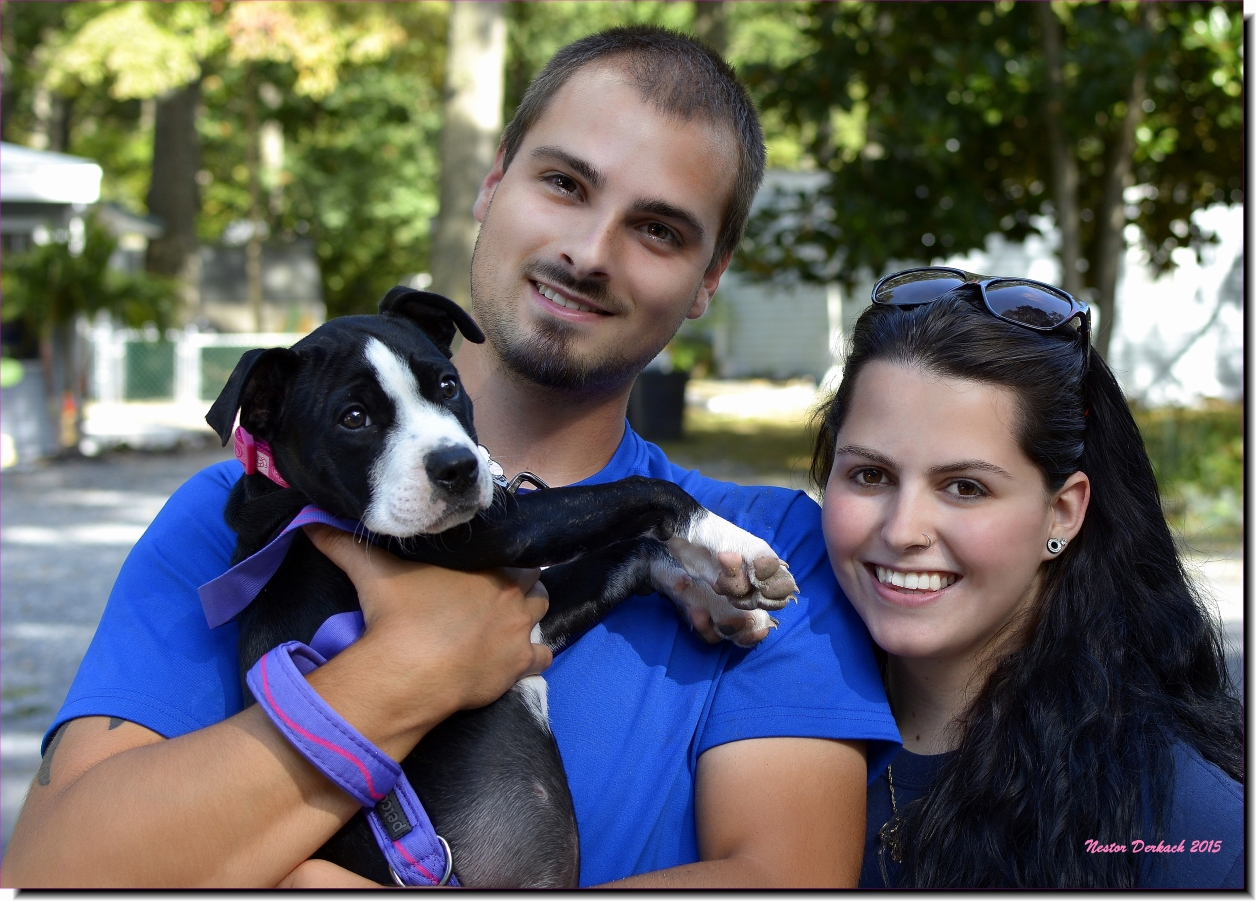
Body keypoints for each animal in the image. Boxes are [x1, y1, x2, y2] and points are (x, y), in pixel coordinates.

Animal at [204, 287, 793, 884]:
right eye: (353, 418)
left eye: (447, 385)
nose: (459, 467)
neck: (295, 497)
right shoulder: (502, 532)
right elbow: (645, 491)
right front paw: (737, 546)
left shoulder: (531, 624)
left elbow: (635, 552)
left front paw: (721, 602)